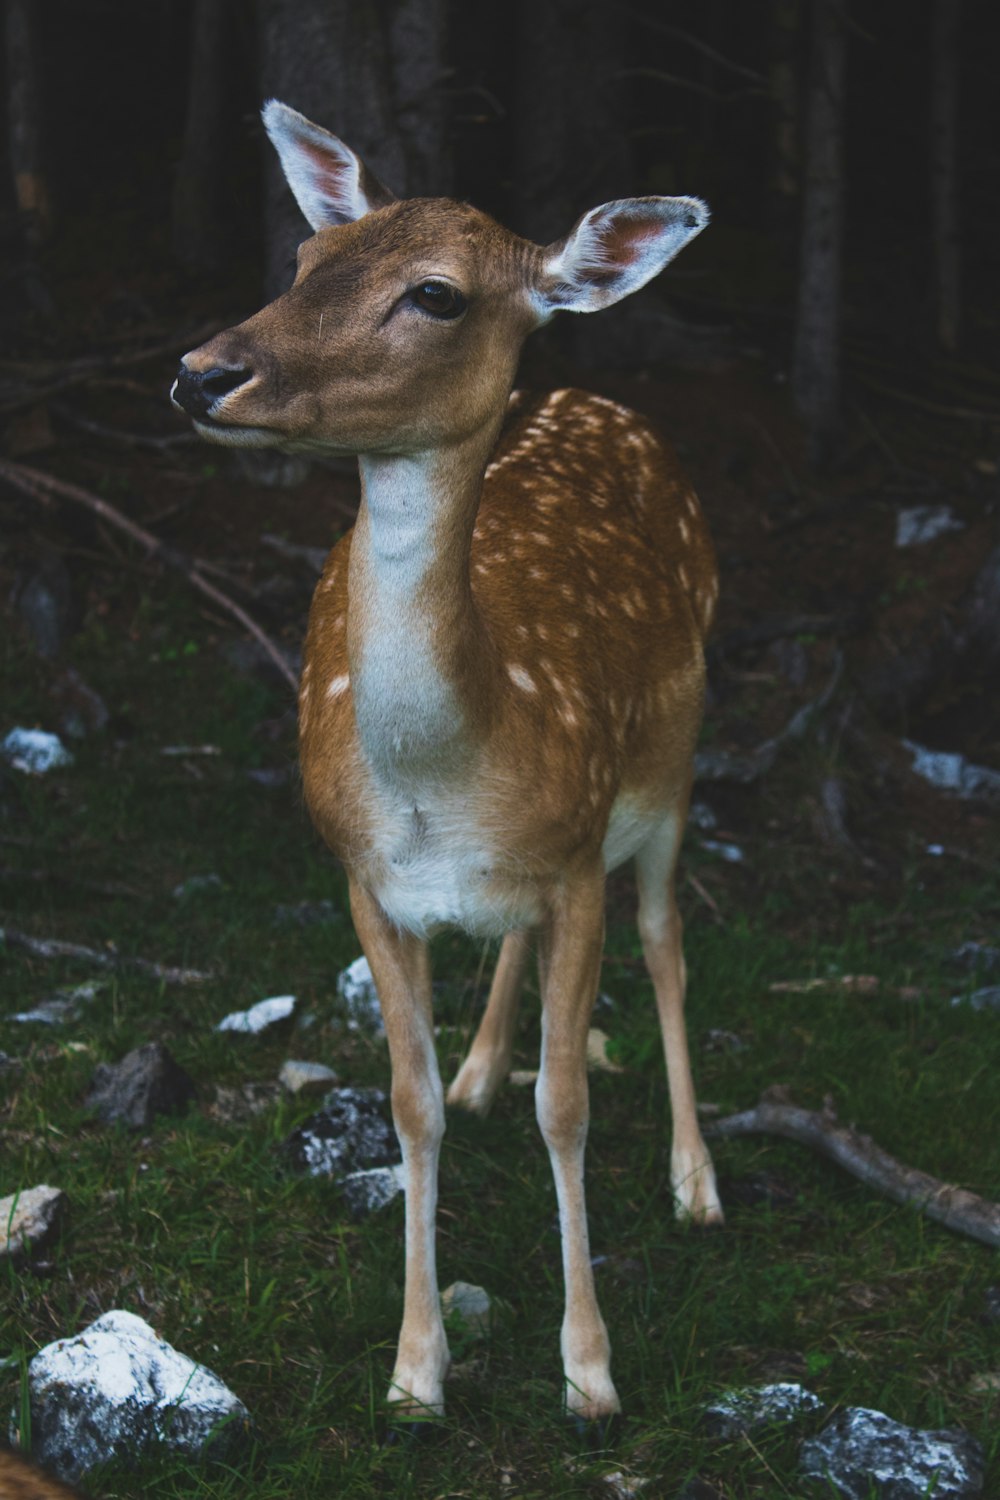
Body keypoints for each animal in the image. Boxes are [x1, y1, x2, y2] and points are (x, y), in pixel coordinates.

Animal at [170, 96, 719, 1428]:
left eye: (435, 294)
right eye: (308, 256)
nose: (202, 371)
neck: (448, 774)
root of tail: (607, 404)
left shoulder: (576, 857)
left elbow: (567, 1104)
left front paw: (589, 1371)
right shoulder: (365, 878)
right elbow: (406, 1105)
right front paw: (415, 1370)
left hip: (672, 764)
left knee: (666, 938)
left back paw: (697, 1184)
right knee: (520, 955)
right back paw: (481, 1069)